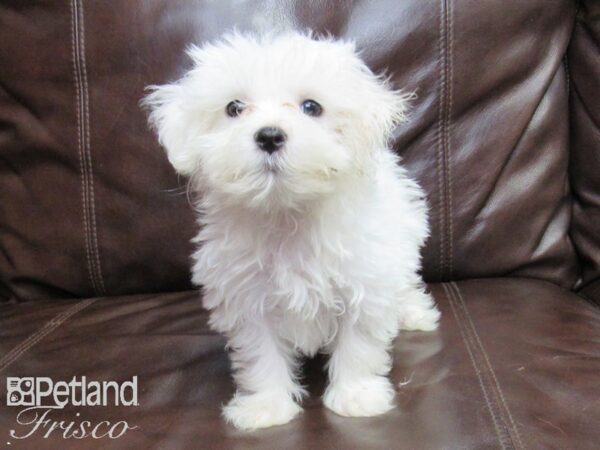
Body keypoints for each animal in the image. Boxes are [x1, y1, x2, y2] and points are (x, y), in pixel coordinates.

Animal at [143, 31, 438, 428]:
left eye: (311, 107)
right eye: (234, 108)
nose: (269, 136)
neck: (287, 214)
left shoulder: (363, 283)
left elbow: (359, 344)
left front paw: (357, 396)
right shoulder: (249, 299)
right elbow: (261, 354)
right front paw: (266, 406)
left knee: (405, 280)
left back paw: (414, 313)